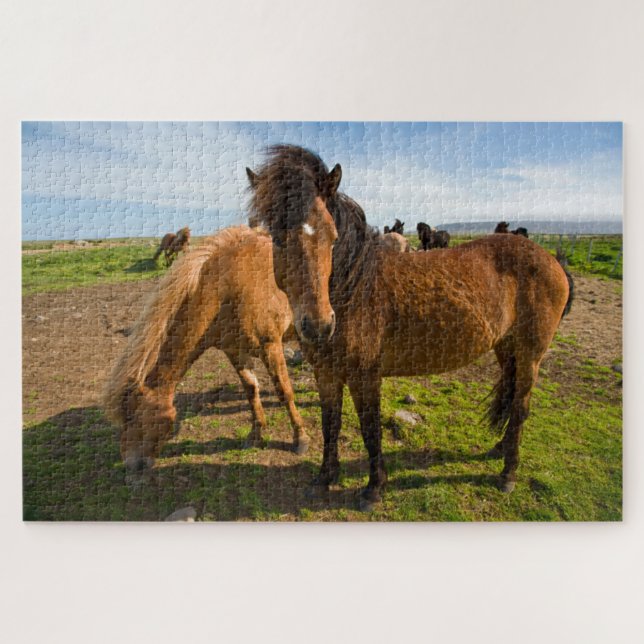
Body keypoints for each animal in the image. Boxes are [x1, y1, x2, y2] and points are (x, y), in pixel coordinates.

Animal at [103, 225, 309, 472]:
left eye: (133, 416)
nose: (130, 464)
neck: (228, 287)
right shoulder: (235, 351)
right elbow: (251, 390)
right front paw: (256, 434)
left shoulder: (271, 346)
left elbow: (284, 392)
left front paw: (300, 438)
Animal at [247, 145, 573, 511]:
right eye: (276, 238)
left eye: (332, 236)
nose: (319, 326)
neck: (355, 290)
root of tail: (551, 260)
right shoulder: (327, 374)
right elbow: (331, 423)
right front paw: (325, 477)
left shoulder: (365, 376)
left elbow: (370, 429)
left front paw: (373, 489)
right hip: (507, 350)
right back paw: (499, 450)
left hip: (531, 354)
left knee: (521, 408)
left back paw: (507, 475)